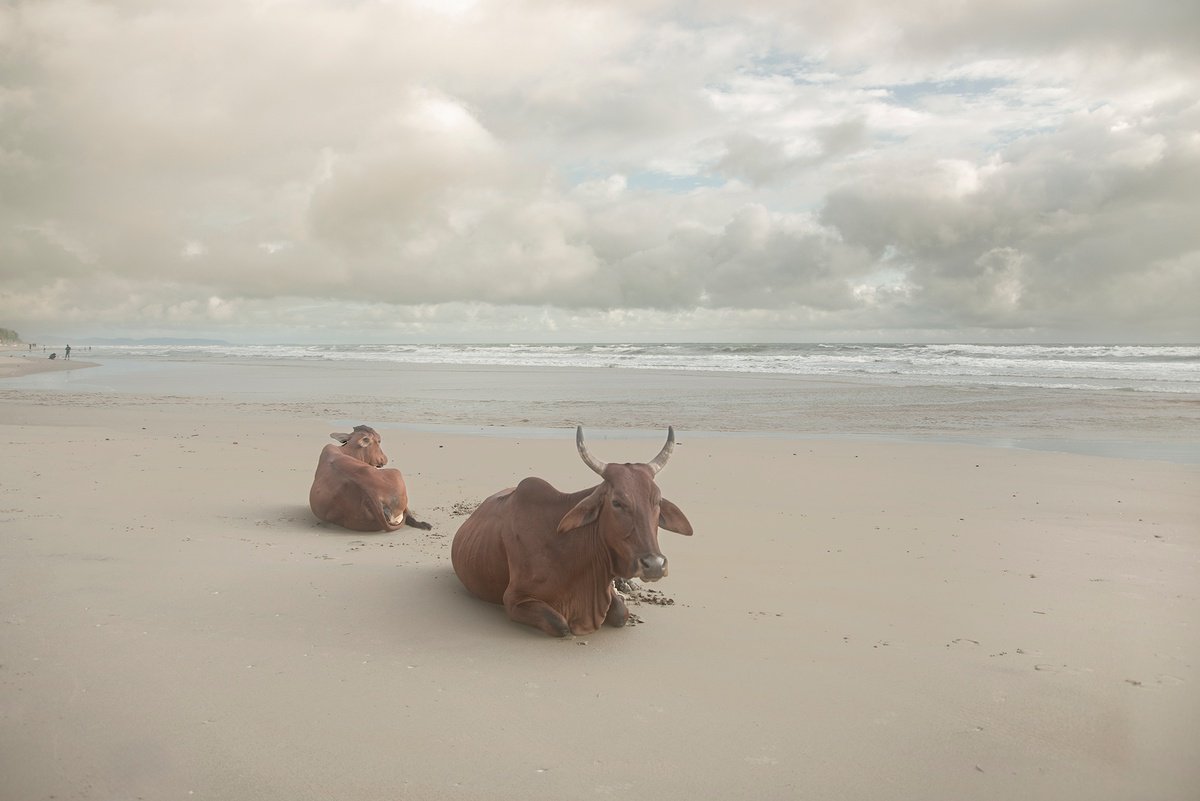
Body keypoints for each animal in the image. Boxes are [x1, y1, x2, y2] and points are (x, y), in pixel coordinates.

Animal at [451, 426, 692, 637]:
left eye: (657, 500)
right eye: (616, 502)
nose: (655, 565)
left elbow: (621, 613)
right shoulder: (514, 599)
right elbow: (561, 625)